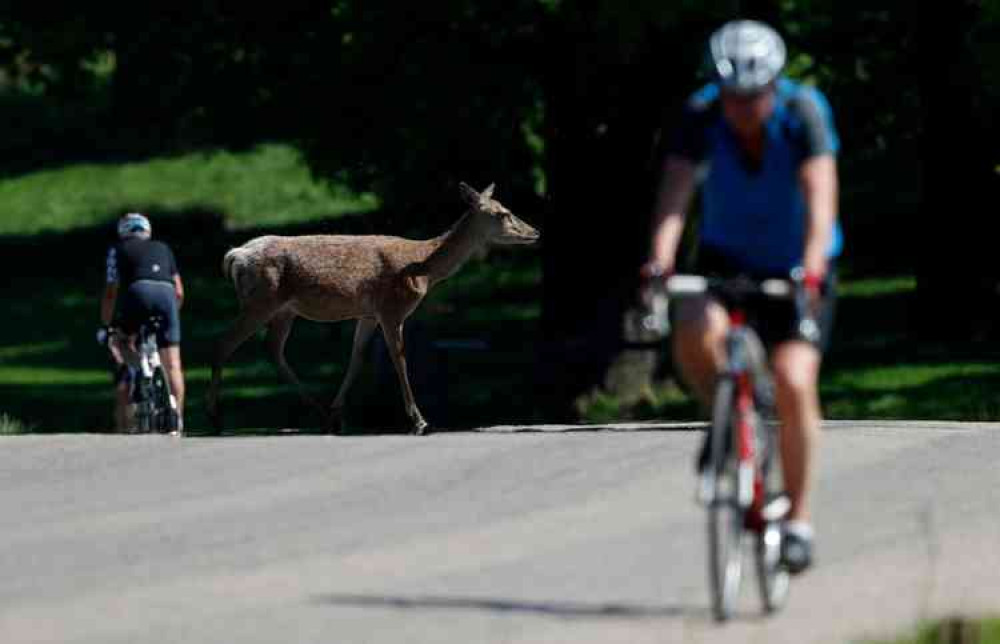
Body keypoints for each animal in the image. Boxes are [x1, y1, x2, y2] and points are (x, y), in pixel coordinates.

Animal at [202, 181, 540, 436]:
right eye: (503, 213)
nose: (535, 232)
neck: (423, 268)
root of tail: (235, 255)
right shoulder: (392, 308)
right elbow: (400, 360)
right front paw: (419, 421)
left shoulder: (368, 313)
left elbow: (357, 358)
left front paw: (338, 413)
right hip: (261, 300)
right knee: (222, 344)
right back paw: (215, 420)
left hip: (284, 309)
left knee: (272, 349)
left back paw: (320, 413)